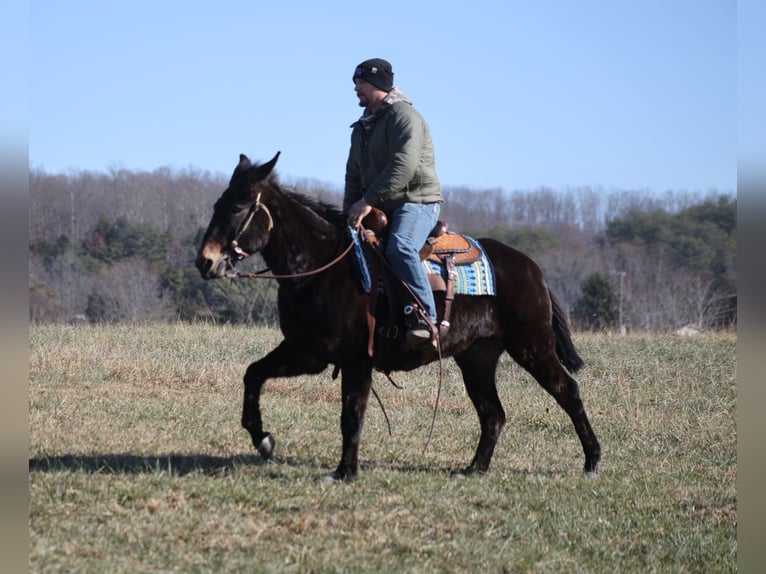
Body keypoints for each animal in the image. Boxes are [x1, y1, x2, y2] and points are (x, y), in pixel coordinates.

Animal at [195, 152, 601, 482]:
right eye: (217, 204)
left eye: (238, 207)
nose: (205, 261)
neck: (323, 266)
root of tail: (532, 268)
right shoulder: (306, 352)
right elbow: (253, 374)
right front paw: (262, 439)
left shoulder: (357, 359)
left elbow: (352, 413)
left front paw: (344, 472)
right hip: (477, 359)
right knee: (493, 414)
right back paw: (474, 469)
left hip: (533, 347)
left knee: (568, 392)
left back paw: (592, 461)